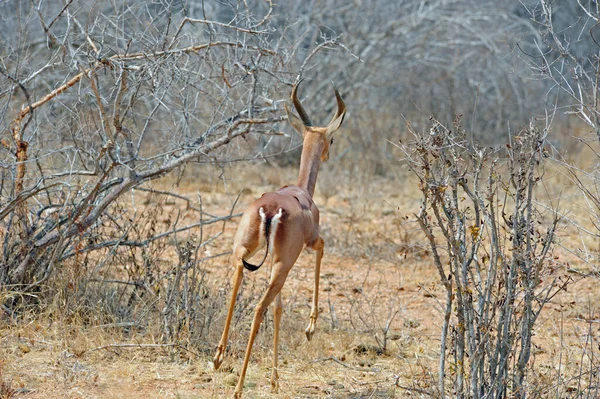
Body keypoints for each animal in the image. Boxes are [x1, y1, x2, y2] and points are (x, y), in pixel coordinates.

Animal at [214, 79, 346, 398]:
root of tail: (270, 210)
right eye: (332, 140)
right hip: (282, 266)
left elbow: (279, 309)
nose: (328, 153)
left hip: (246, 254)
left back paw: (218, 357)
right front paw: (310, 328)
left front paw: (275, 380)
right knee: (258, 309)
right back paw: (238, 388)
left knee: (238, 289)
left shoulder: (274, 260)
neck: (302, 191)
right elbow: (322, 250)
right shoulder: (310, 244)